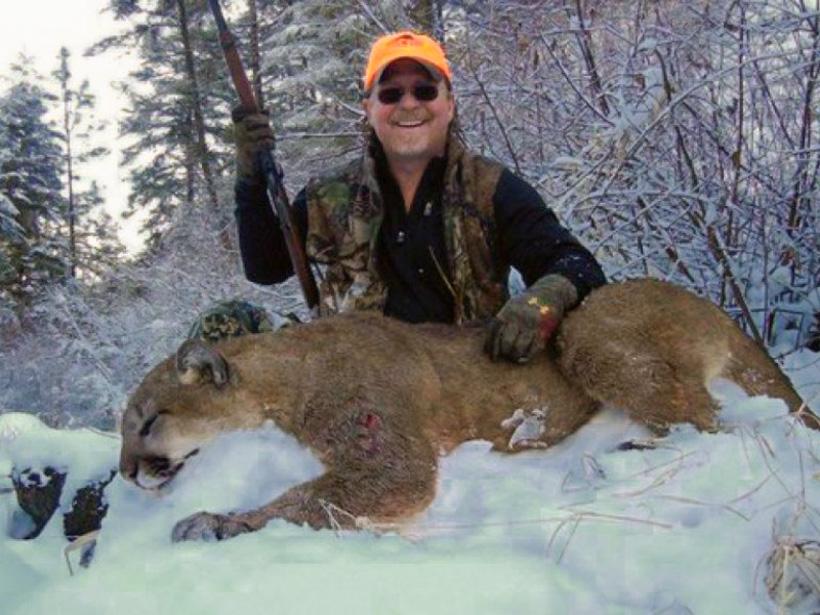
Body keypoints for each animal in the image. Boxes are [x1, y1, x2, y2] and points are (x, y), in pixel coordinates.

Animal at [119, 279, 818, 542]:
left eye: (148, 421)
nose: (126, 472)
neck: (285, 373)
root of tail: (708, 301)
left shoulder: (390, 459)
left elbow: (304, 500)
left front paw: (213, 522)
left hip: (586, 335)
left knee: (711, 422)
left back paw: (618, 459)